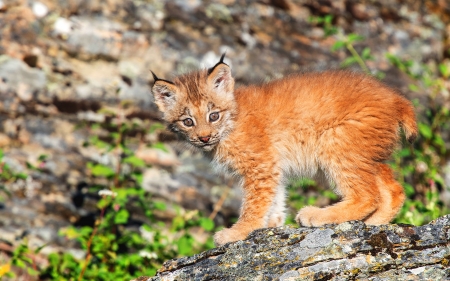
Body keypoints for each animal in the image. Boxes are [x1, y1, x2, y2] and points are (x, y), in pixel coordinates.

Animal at [151, 54, 418, 245]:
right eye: (188, 122)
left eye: (213, 115)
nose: (204, 137)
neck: (230, 124)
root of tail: (394, 97)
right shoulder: (271, 165)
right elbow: (275, 197)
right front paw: (272, 224)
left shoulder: (260, 165)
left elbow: (254, 204)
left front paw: (238, 232)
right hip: (363, 151)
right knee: (393, 188)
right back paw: (375, 225)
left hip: (335, 142)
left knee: (366, 195)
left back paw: (317, 215)